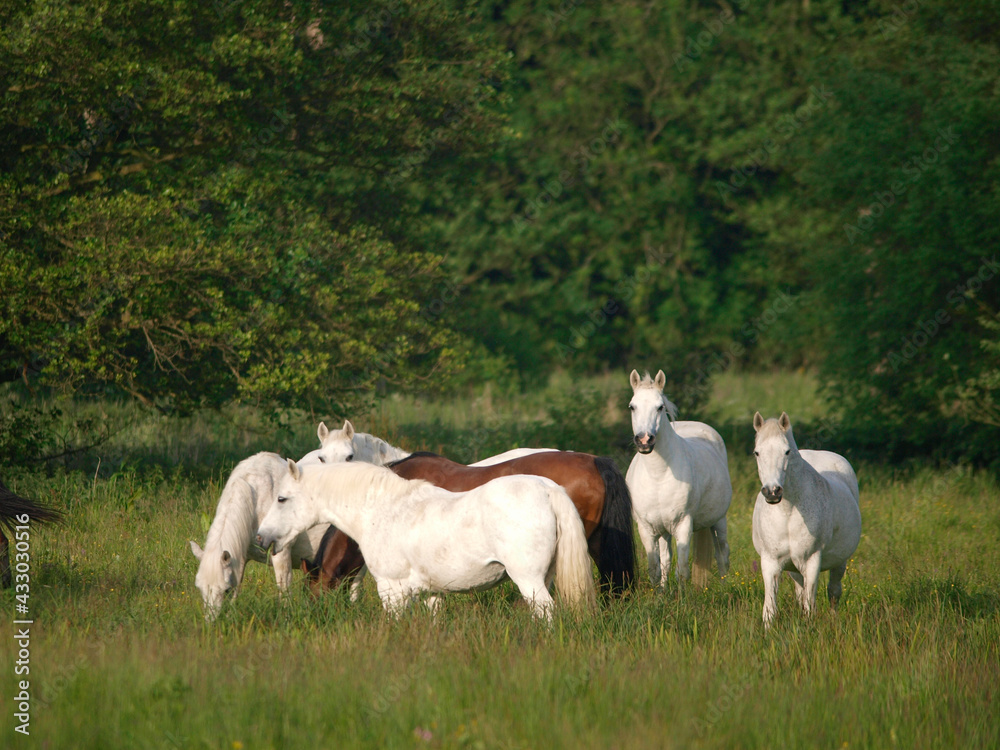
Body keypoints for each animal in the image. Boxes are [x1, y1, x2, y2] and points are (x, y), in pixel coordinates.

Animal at [188, 451, 329, 620]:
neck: (256, 497)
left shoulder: (281, 554)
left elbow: (284, 589)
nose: (212, 622)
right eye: (200, 588)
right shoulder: (240, 558)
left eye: (225, 589)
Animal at [257, 460, 597, 619]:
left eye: (282, 498)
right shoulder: (434, 593)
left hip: (529, 580)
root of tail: (548, 489)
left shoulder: (392, 591)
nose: (261, 537)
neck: (383, 508)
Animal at [625, 369, 732, 589]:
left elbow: (682, 570)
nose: (644, 440)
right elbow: (655, 569)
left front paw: (683, 597)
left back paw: (726, 588)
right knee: (666, 560)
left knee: (722, 555)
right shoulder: (647, 529)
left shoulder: (683, 525)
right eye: (632, 406)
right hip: (664, 530)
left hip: (719, 520)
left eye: (660, 407)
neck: (658, 475)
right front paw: (659, 595)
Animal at [751, 411, 861, 627]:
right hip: (794, 568)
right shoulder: (770, 562)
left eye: (786, 452)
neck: (787, 511)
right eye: (757, 453)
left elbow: (811, 605)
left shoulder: (811, 561)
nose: (772, 492)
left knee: (833, 591)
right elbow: (770, 607)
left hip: (839, 562)